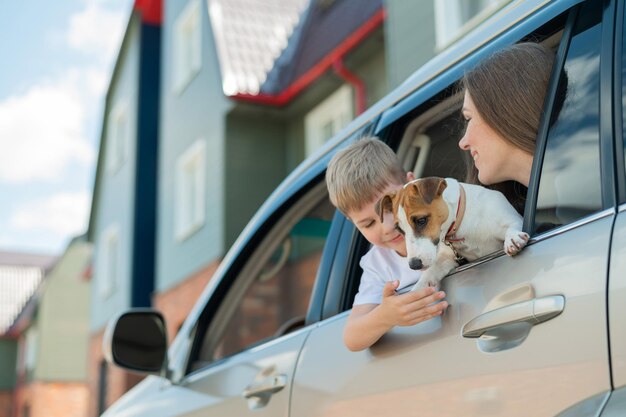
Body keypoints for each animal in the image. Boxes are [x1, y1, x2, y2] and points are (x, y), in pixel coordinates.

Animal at [376, 177, 528, 290]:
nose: (414, 265)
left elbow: (512, 226)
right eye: (399, 230)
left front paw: (512, 238)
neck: (460, 225)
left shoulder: (513, 218)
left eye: (421, 220)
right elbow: (431, 272)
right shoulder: (447, 259)